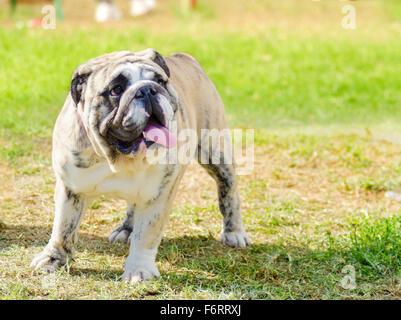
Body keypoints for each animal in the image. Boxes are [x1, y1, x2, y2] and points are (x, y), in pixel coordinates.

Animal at [31, 48, 248, 284]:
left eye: (160, 81)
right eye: (116, 90)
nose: (147, 89)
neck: (117, 158)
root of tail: (184, 56)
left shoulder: (158, 196)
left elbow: (146, 236)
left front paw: (138, 270)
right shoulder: (70, 188)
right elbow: (63, 227)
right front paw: (53, 258)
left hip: (216, 153)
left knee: (229, 192)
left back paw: (234, 232)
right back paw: (127, 229)